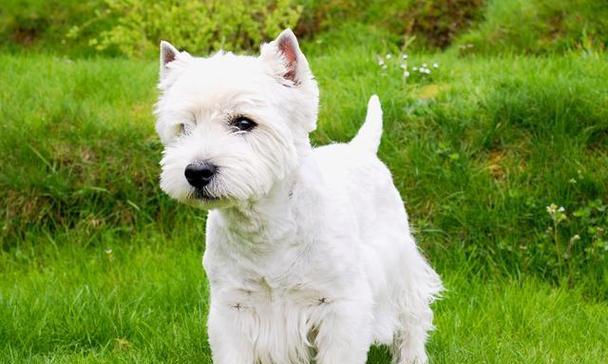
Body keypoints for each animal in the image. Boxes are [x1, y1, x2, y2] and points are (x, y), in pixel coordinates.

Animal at [154, 27, 444, 362]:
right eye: (184, 127)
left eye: (244, 122)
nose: (197, 172)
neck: (266, 229)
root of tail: (360, 147)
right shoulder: (232, 306)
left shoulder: (342, 305)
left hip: (400, 264)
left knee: (412, 315)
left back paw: (413, 355)